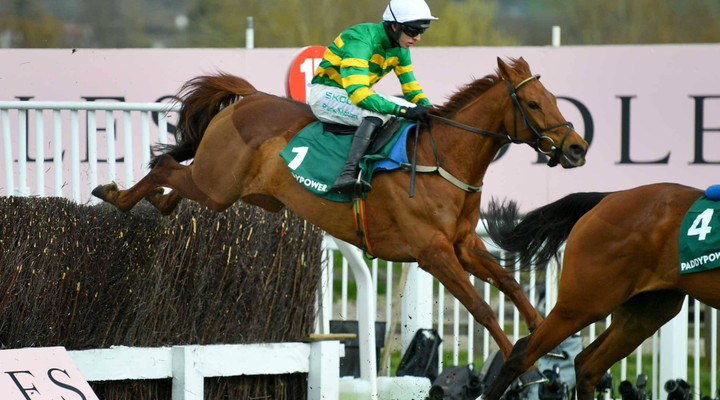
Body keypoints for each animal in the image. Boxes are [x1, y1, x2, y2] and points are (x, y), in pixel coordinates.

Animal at [92, 57, 588, 361]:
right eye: (532, 103)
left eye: (555, 100)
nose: (577, 148)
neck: (441, 159)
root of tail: (248, 97)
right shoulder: (432, 252)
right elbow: (481, 307)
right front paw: (518, 360)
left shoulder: (463, 243)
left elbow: (510, 283)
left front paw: (548, 338)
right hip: (217, 185)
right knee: (163, 166)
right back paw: (115, 195)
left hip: (223, 188)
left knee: (174, 188)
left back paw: (147, 200)